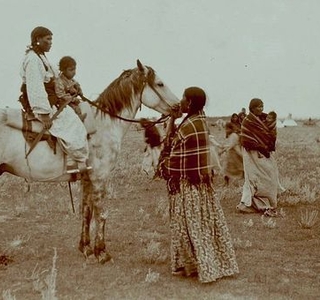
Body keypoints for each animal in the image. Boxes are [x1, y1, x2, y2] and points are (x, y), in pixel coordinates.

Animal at [0, 59, 180, 264]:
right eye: (160, 83)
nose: (179, 106)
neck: (105, 124)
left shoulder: (87, 178)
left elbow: (86, 212)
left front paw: (85, 247)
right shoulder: (100, 177)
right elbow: (101, 214)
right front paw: (101, 251)